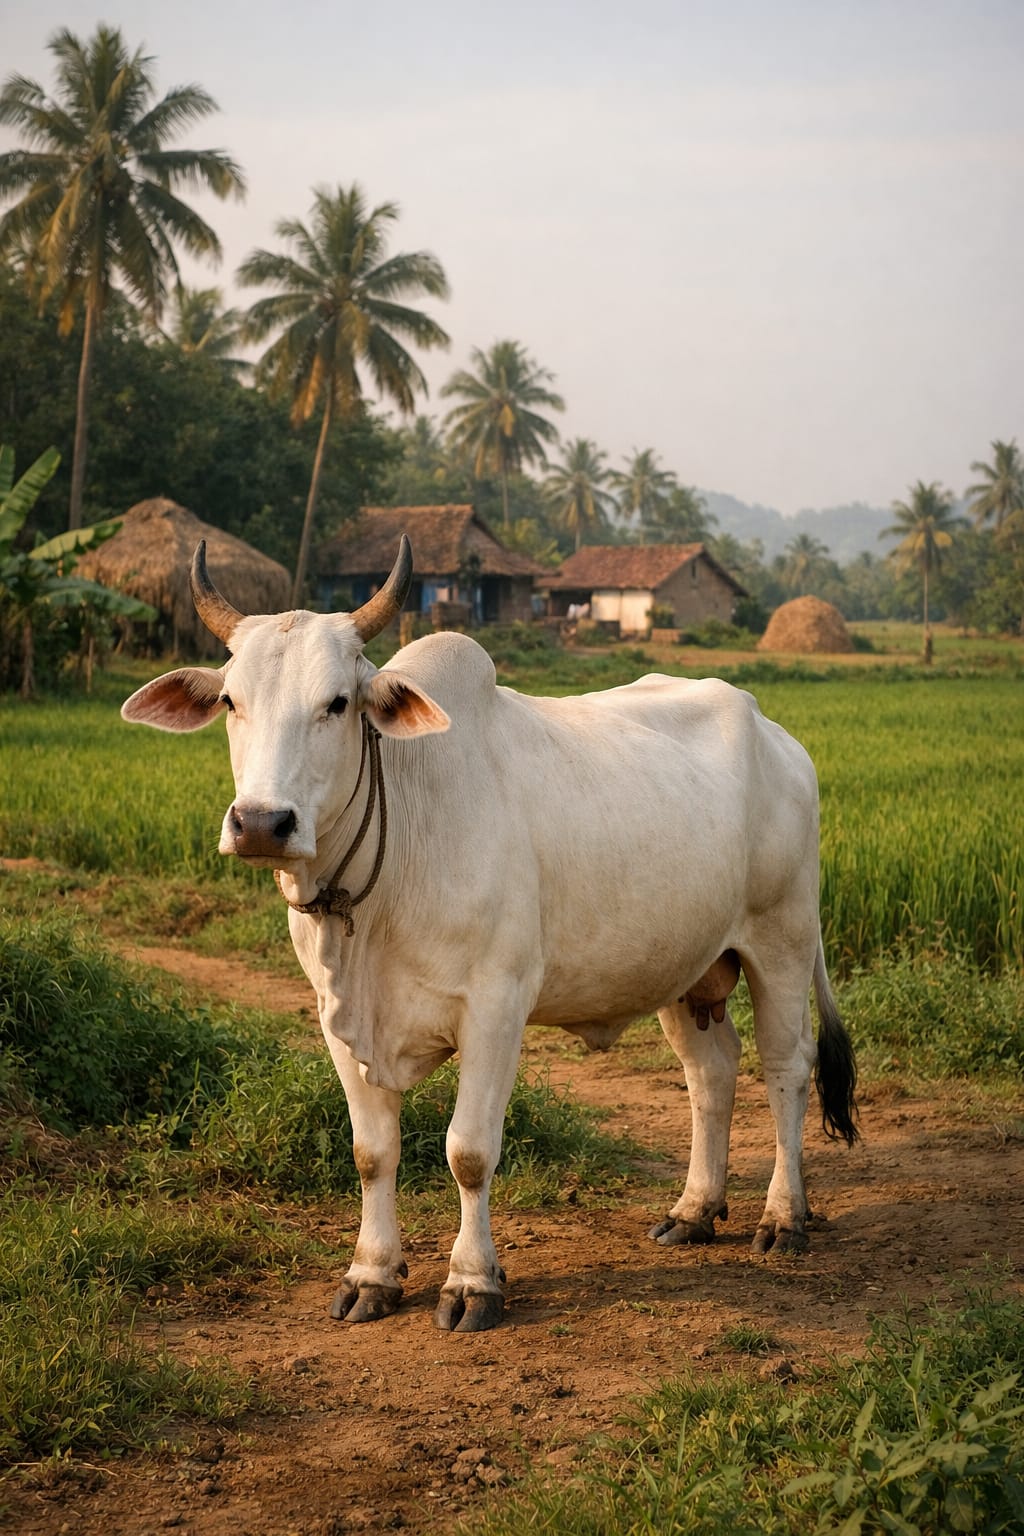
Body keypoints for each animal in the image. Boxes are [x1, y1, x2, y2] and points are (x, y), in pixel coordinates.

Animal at [122, 536, 857, 1333]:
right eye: (231, 701)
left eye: (338, 703)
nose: (261, 823)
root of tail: (779, 736)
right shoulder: (336, 1017)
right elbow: (372, 1152)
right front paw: (371, 1274)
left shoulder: (496, 1008)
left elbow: (469, 1152)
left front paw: (472, 1283)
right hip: (688, 967)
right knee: (712, 1072)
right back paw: (694, 1210)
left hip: (781, 941)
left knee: (787, 1067)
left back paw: (783, 1218)